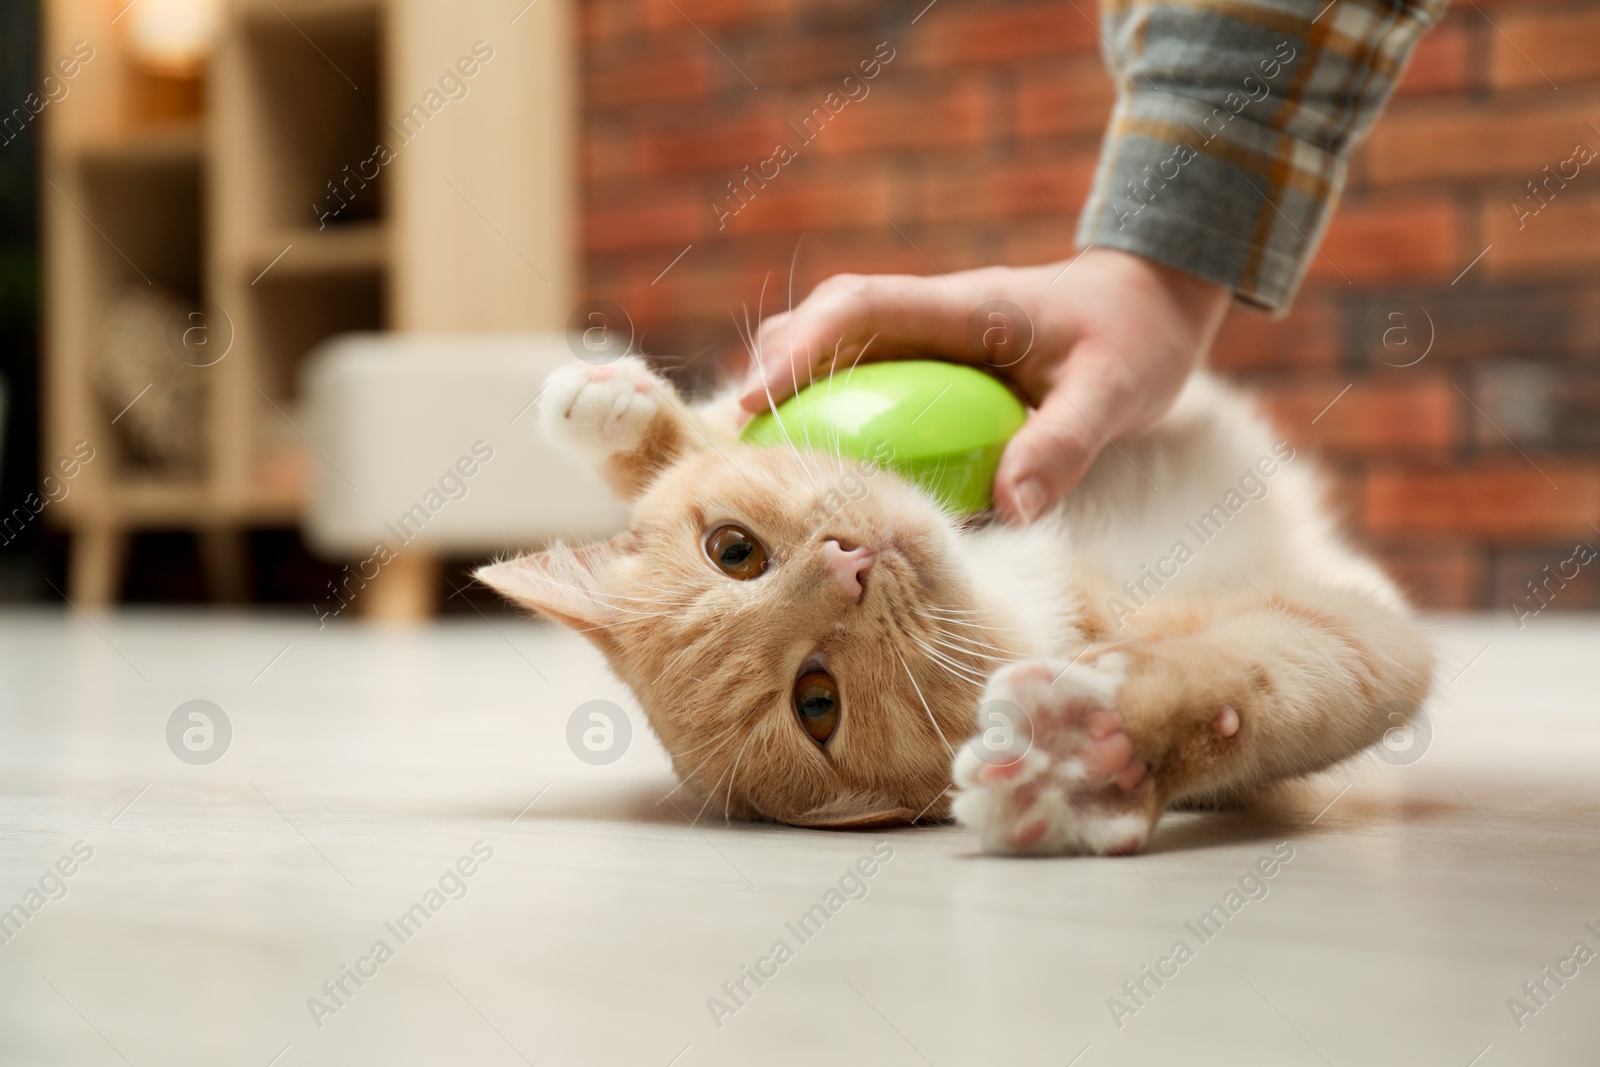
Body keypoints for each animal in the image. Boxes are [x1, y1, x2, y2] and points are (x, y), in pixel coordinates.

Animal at [476, 355, 1440, 857]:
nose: (850, 564)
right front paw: (1085, 764)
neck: (1017, 574)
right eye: (816, 703)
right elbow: (1263, 682)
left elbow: (707, 436)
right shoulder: (1361, 630)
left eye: (734, 551)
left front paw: (615, 410)